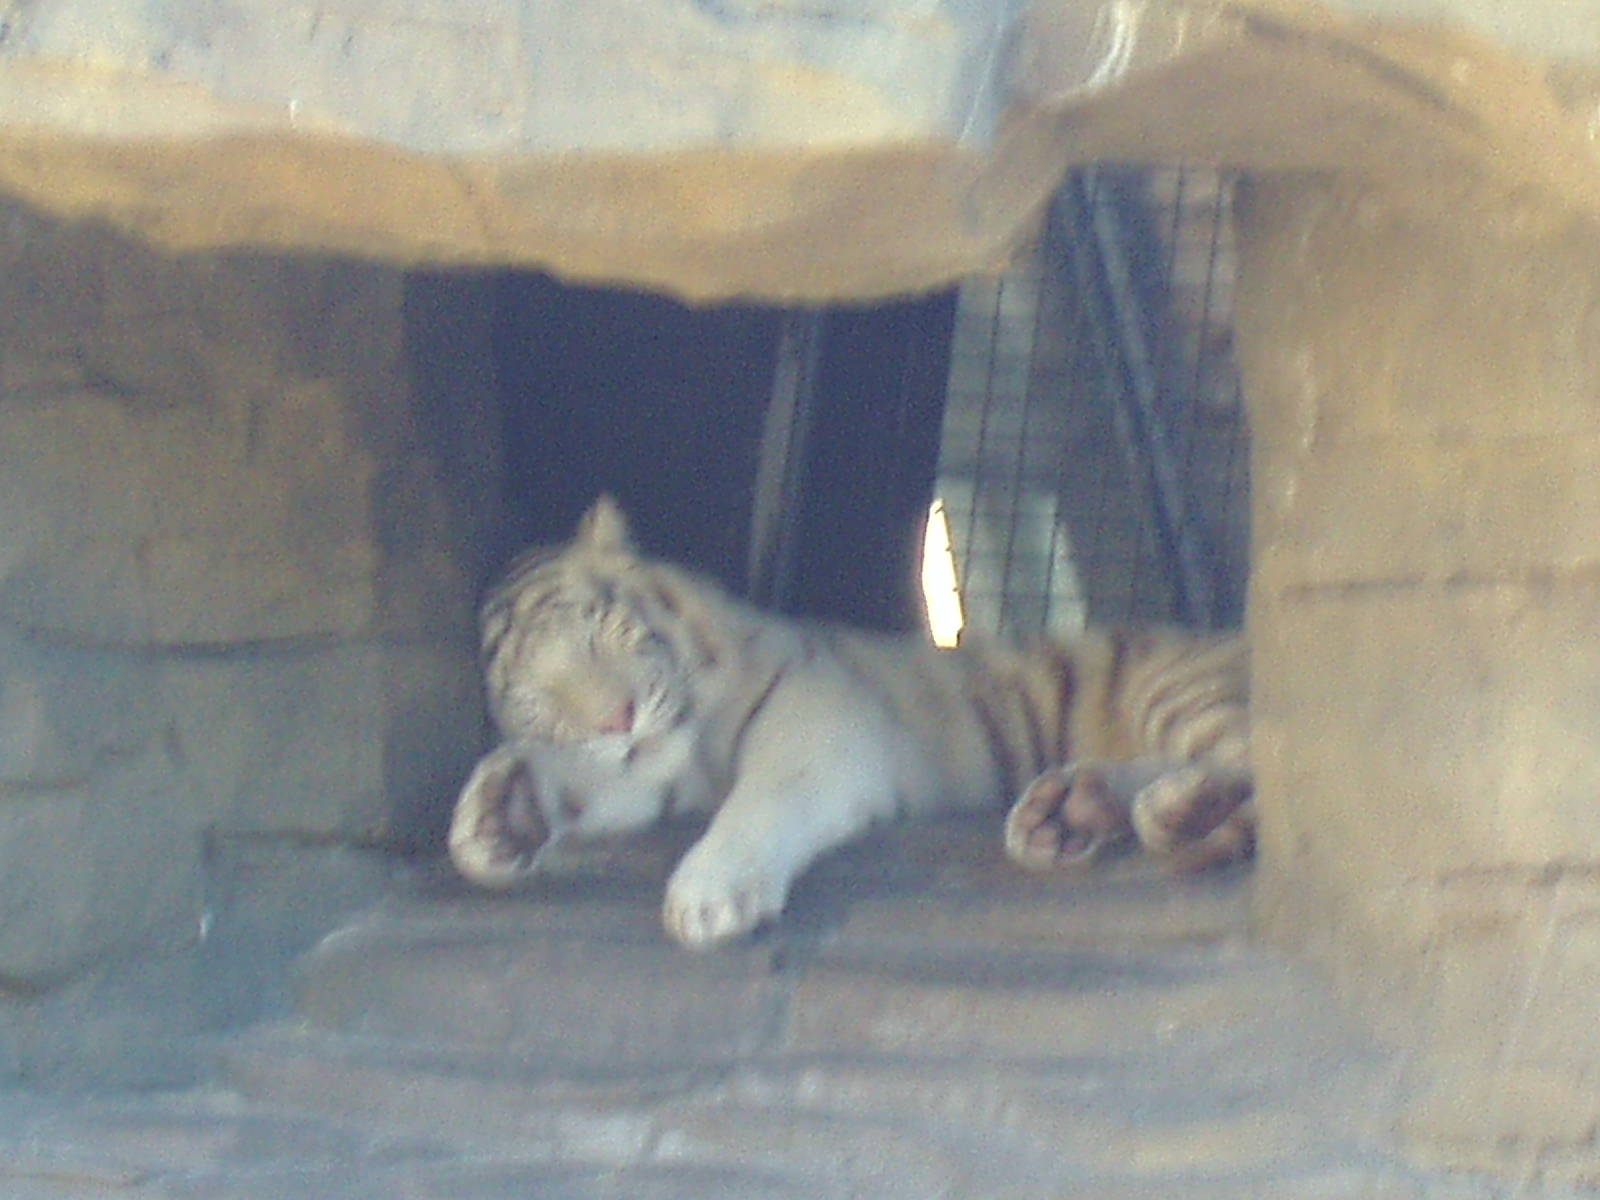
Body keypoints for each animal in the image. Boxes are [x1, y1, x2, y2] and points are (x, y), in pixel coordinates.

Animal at [448, 497, 1252, 950]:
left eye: (600, 631)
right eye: (536, 701)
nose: (617, 718)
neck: (694, 741)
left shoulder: (821, 717)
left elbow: (761, 802)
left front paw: (709, 896)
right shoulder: (654, 770)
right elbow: (593, 784)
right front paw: (500, 814)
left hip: (1183, 688)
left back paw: (1168, 807)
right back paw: (1070, 812)